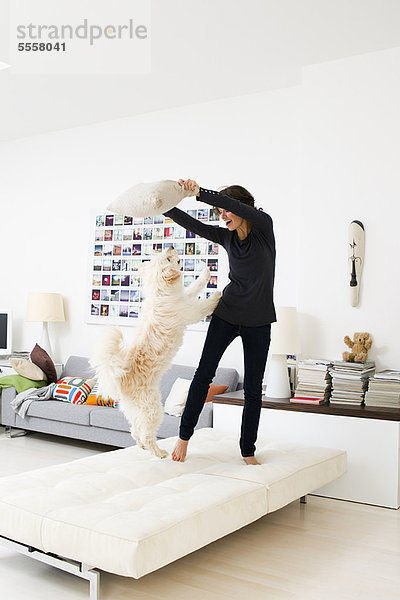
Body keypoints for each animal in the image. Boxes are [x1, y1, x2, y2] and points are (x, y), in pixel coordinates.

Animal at [90, 248, 220, 460]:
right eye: (168, 258)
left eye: (162, 255)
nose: (171, 247)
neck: (160, 292)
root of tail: (122, 378)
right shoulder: (190, 310)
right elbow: (203, 305)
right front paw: (216, 294)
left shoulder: (184, 295)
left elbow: (193, 287)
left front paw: (205, 274)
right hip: (153, 410)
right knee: (147, 435)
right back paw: (159, 453)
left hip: (135, 412)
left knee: (135, 431)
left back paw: (143, 447)